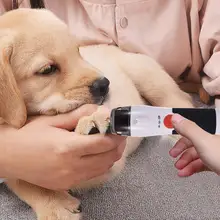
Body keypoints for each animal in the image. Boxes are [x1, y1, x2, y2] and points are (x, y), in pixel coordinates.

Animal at [0, 7, 194, 219]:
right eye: (48, 69)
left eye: (77, 51)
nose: (104, 84)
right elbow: (25, 183)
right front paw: (56, 207)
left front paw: (92, 120)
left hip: (147, 75)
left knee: (179, 100)